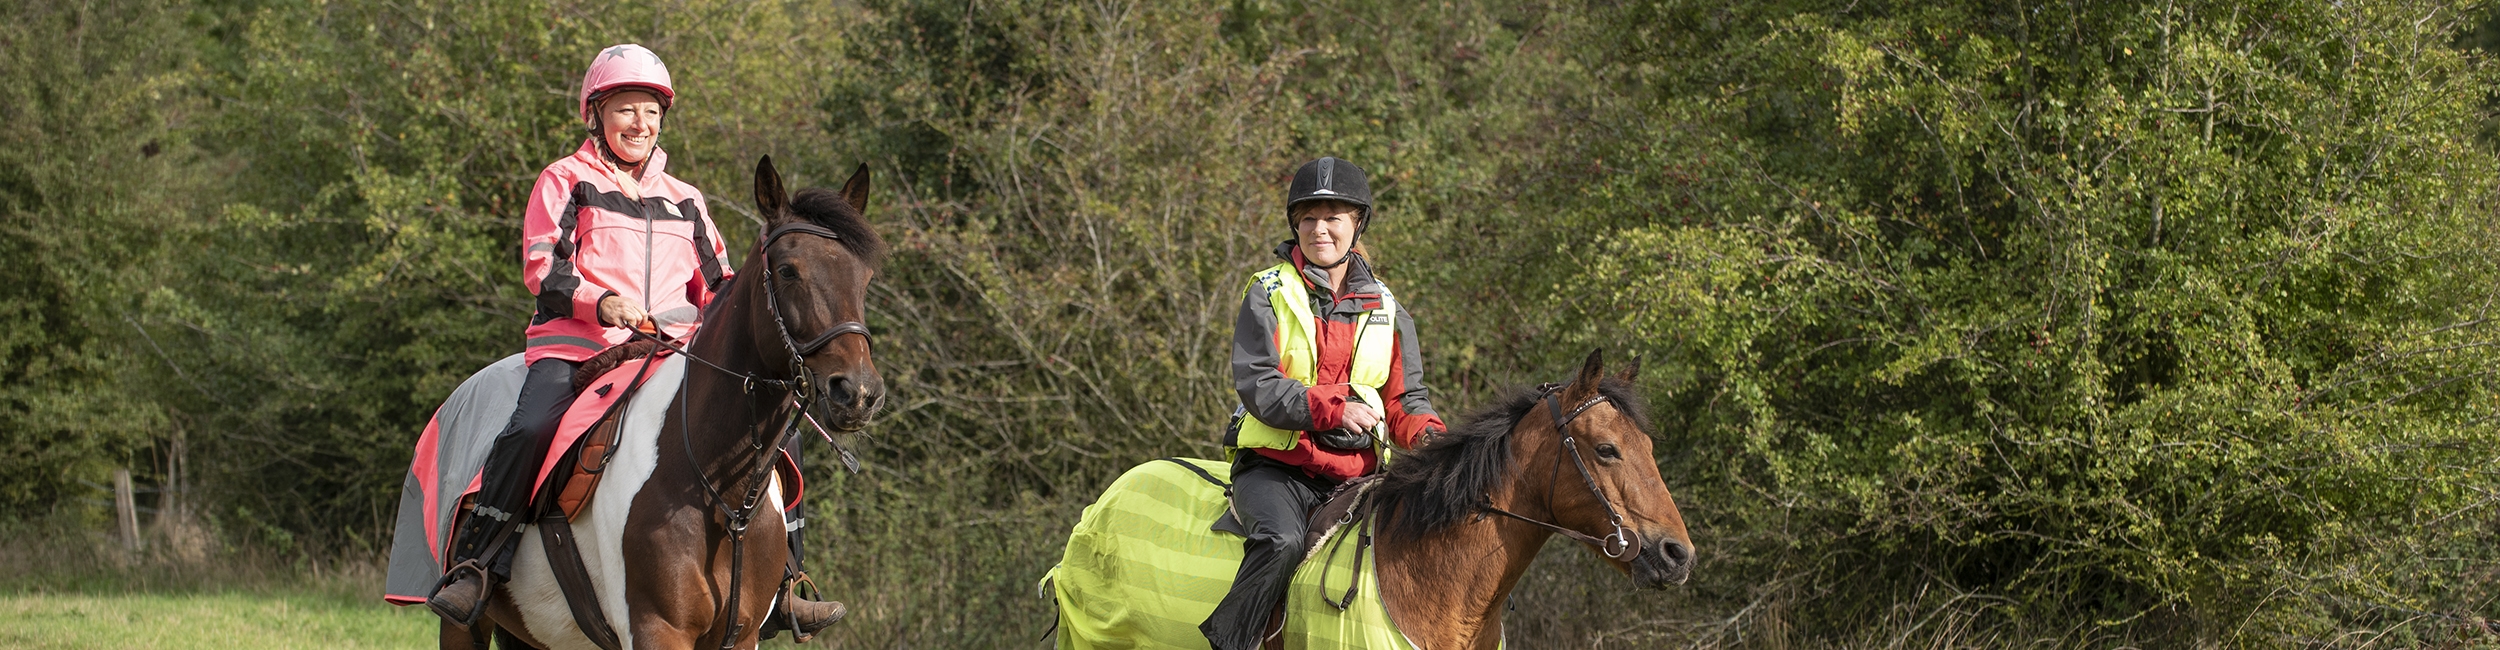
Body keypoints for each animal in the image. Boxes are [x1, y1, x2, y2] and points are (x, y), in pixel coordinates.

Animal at [455, 157, 895, 650]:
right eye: (787, 271)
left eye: (864, 277)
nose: (858, 392)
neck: (720, 493)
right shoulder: (655, 629)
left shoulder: (742, 635)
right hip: (465, 626)